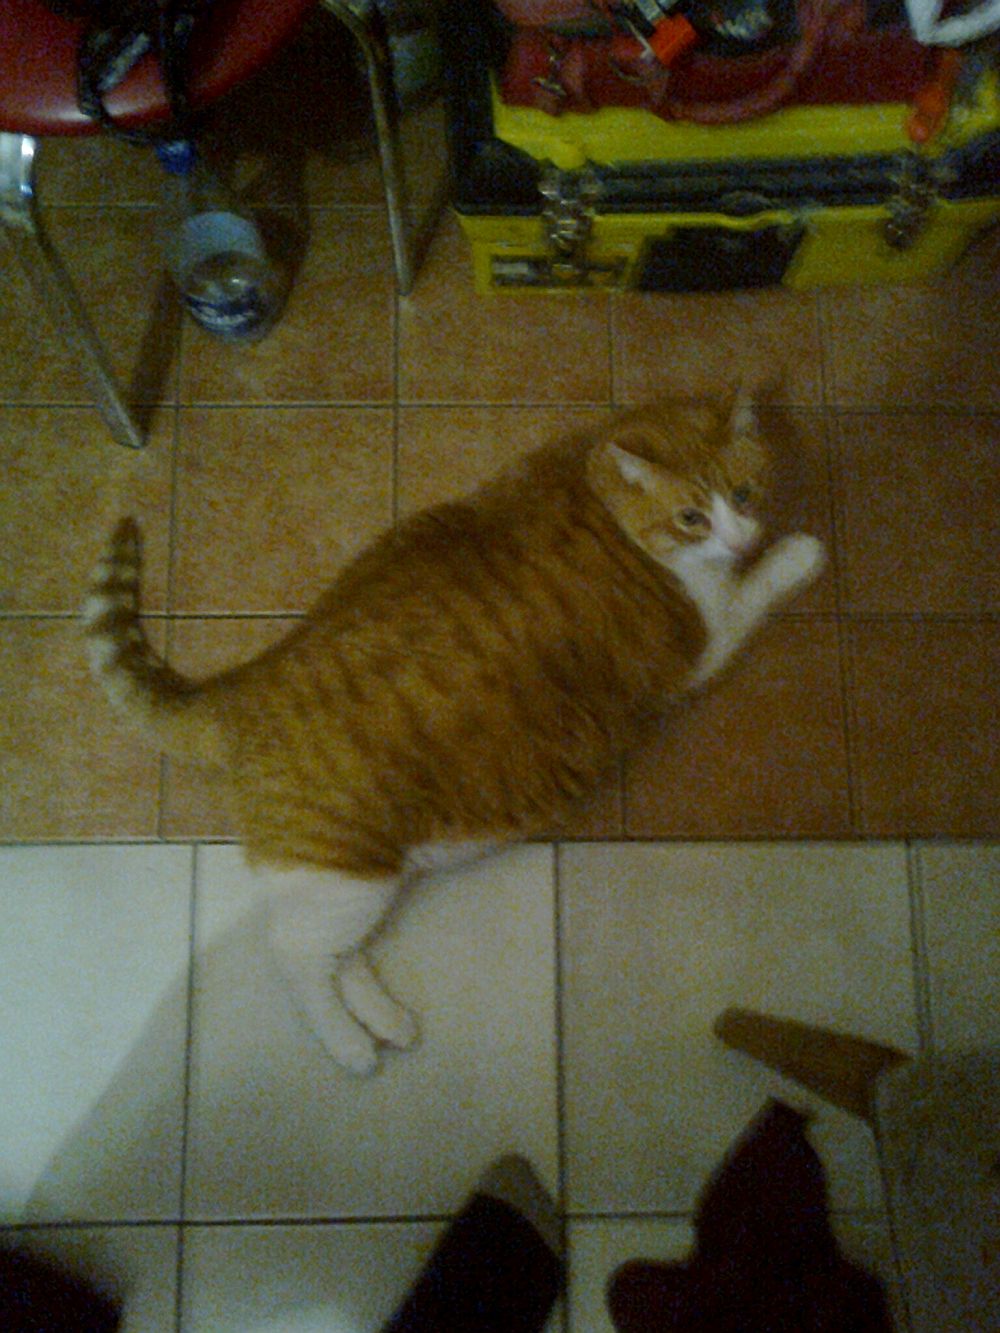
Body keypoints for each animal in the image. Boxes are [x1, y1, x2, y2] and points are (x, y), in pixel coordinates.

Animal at [83, 398, 825, 1075]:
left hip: (358, 880)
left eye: (743, 493)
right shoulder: (703, 644)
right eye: (692, 517)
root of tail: (246, 681)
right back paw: (350, 1045)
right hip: (345, 873)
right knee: (293, 955)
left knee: (333, 952)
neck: (601, 495)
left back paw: (385, 1019)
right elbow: (760, 588)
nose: (741, 539)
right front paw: (797, 553)